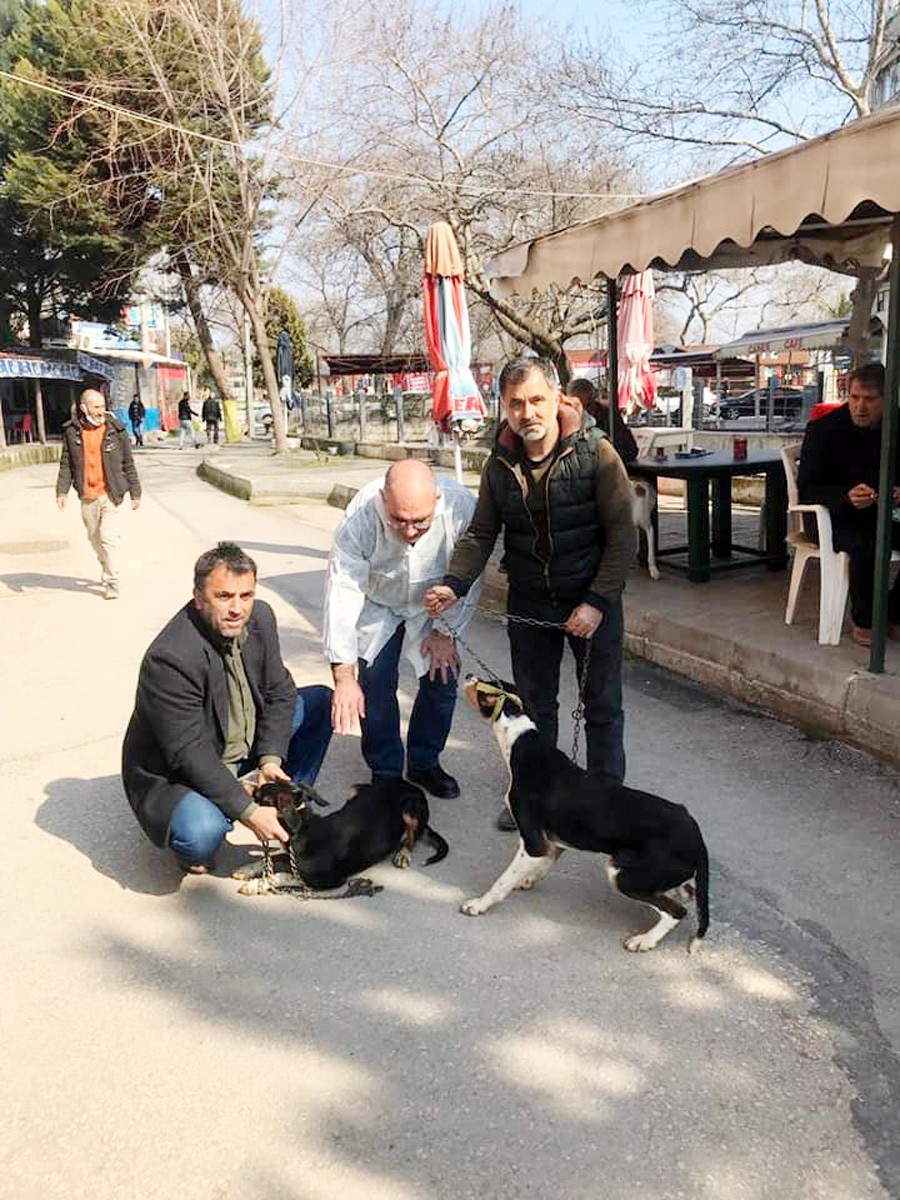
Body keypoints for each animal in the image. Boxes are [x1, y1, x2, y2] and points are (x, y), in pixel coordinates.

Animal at [234, 772, 451, 897]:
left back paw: (404, 853)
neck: (303, 830)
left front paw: (257, 884)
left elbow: (282, 875)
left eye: (258, 796)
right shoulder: (290, 856)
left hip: (410, 809)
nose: (241, 782)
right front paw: (245, 870)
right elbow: (270, 859)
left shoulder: (330, 880)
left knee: (414, 836)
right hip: (354, 790)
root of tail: (409, 785)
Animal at [460, 672, 710, 950]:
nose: (468, 674)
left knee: (677, 911)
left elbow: (503, 880)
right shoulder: (554, 840)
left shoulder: (533, 842)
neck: (523, 744)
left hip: (622, 873)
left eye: (484, 684)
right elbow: (544, 862)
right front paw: (529, 879)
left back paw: (644, 941)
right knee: (686, 894)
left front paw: (480, 904)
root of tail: (697, 839)